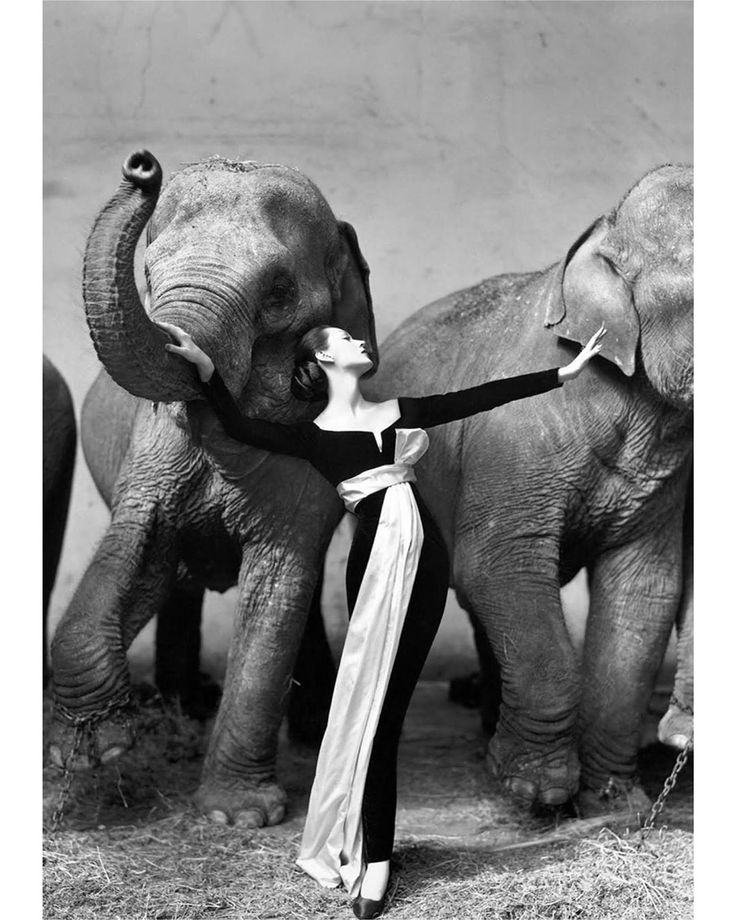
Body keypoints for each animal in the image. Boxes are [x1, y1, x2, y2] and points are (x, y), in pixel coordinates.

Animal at [49, 151, 376, 828]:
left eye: (278, 292)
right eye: (148, 273)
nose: (142, 166)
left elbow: (279, 583)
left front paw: (236, 817)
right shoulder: (152, 450)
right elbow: (137, 546)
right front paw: (94, 750)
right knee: (177, 581)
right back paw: (184, 704)